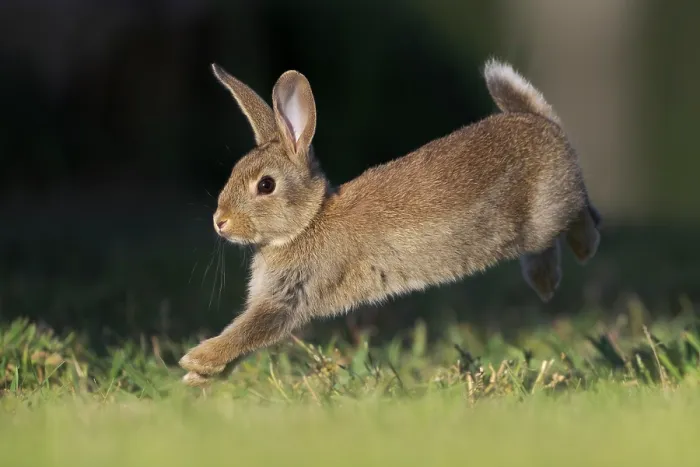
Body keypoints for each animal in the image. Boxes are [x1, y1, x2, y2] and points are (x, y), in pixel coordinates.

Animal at [179, 58, 601, 385]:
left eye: (265, 185)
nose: (220, 222)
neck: (308, 221)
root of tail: (545, 127)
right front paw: (198, 377)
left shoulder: (288, 298)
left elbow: (249, 331)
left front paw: (194, 360)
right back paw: (545, 282)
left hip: (547, 211)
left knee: (581, 211)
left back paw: (584, 247)